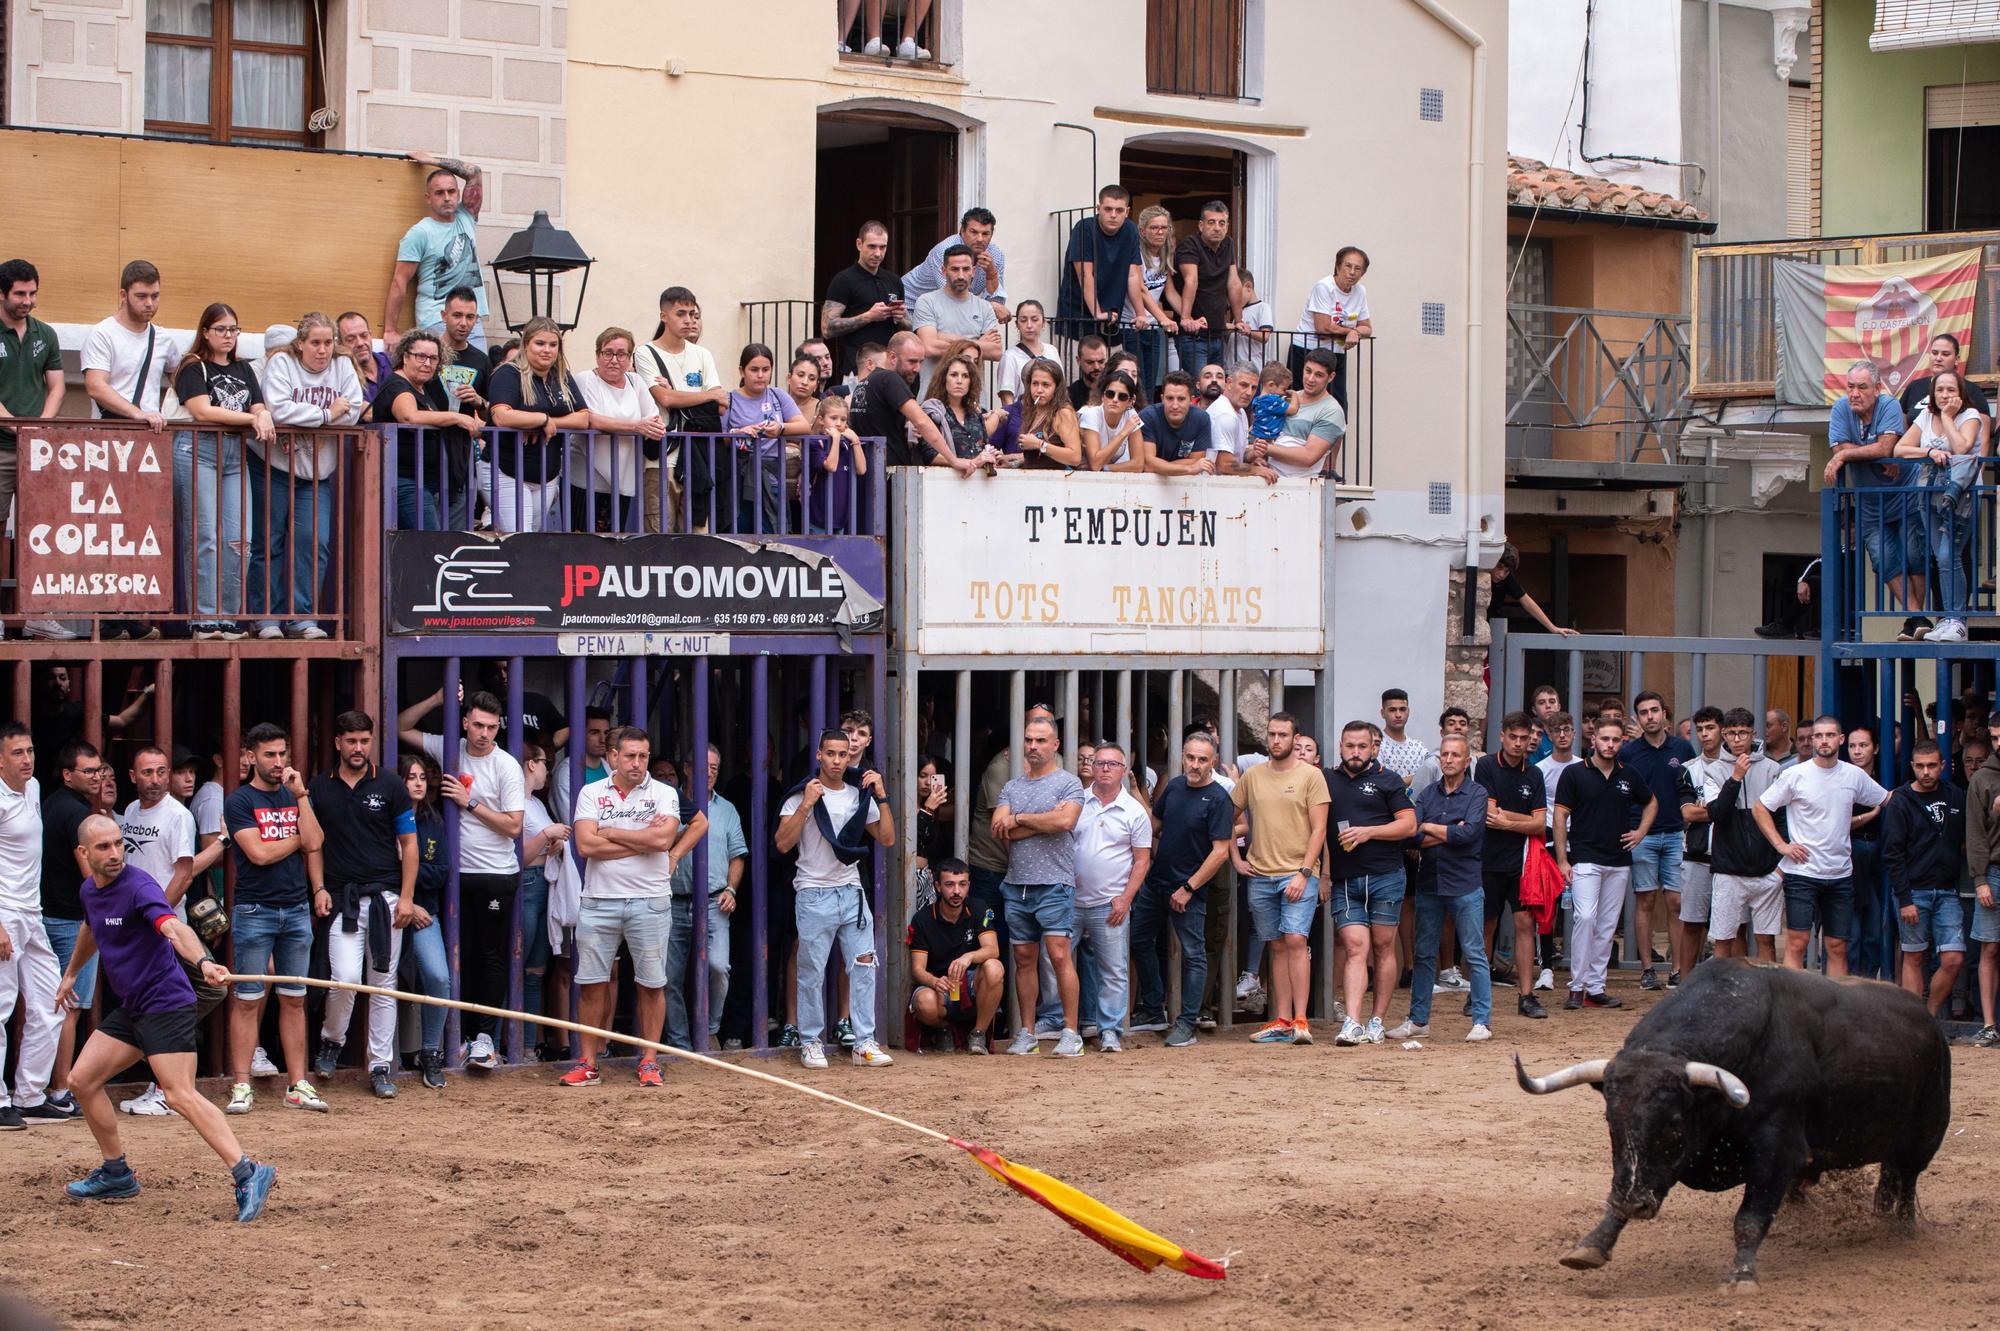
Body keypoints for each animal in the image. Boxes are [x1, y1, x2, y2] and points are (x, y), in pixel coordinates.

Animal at [1520, 955, 1944, 1287]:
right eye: (1612, 1122)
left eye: (1674, 1124)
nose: (1635, 1204)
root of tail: (1930, 1022)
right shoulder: (1668, 1161)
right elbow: (1628, 1191)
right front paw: (1591, 1245)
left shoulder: (1778, 1150)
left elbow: (1750, 1219)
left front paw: (1742, 1276)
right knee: (1879, 1183)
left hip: (1922, 1139)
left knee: (1906, 1184)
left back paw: (1901, 1231)